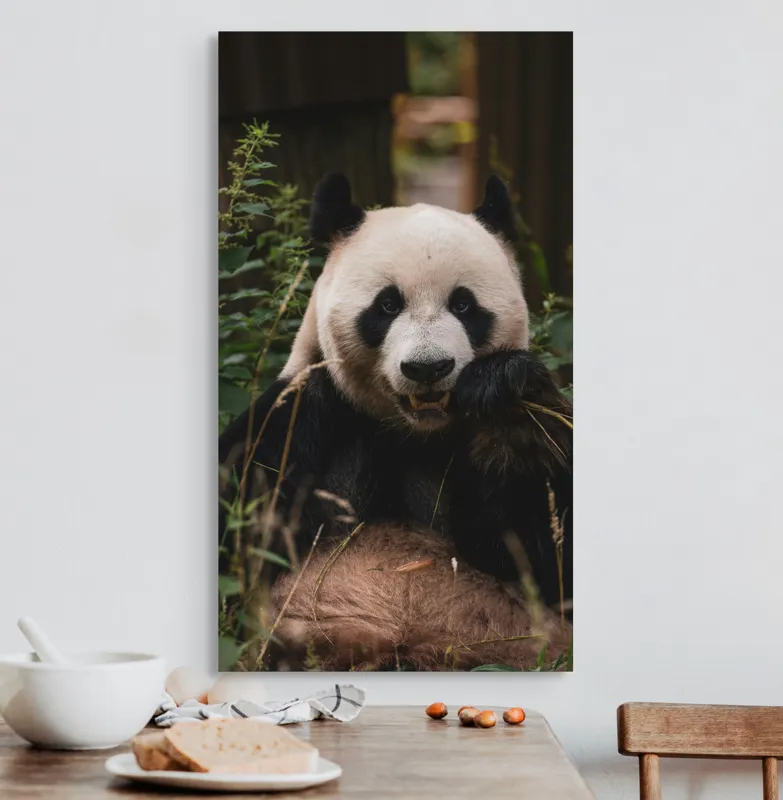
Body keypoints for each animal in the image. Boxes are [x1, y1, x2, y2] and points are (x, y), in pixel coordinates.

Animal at [219, 173, 573, 671]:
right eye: (387, 306)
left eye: (464, 305)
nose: (428, 368)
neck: (412, 433)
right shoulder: (301, 417)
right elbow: (234, 520)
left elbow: (549, 551)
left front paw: (504, 394)